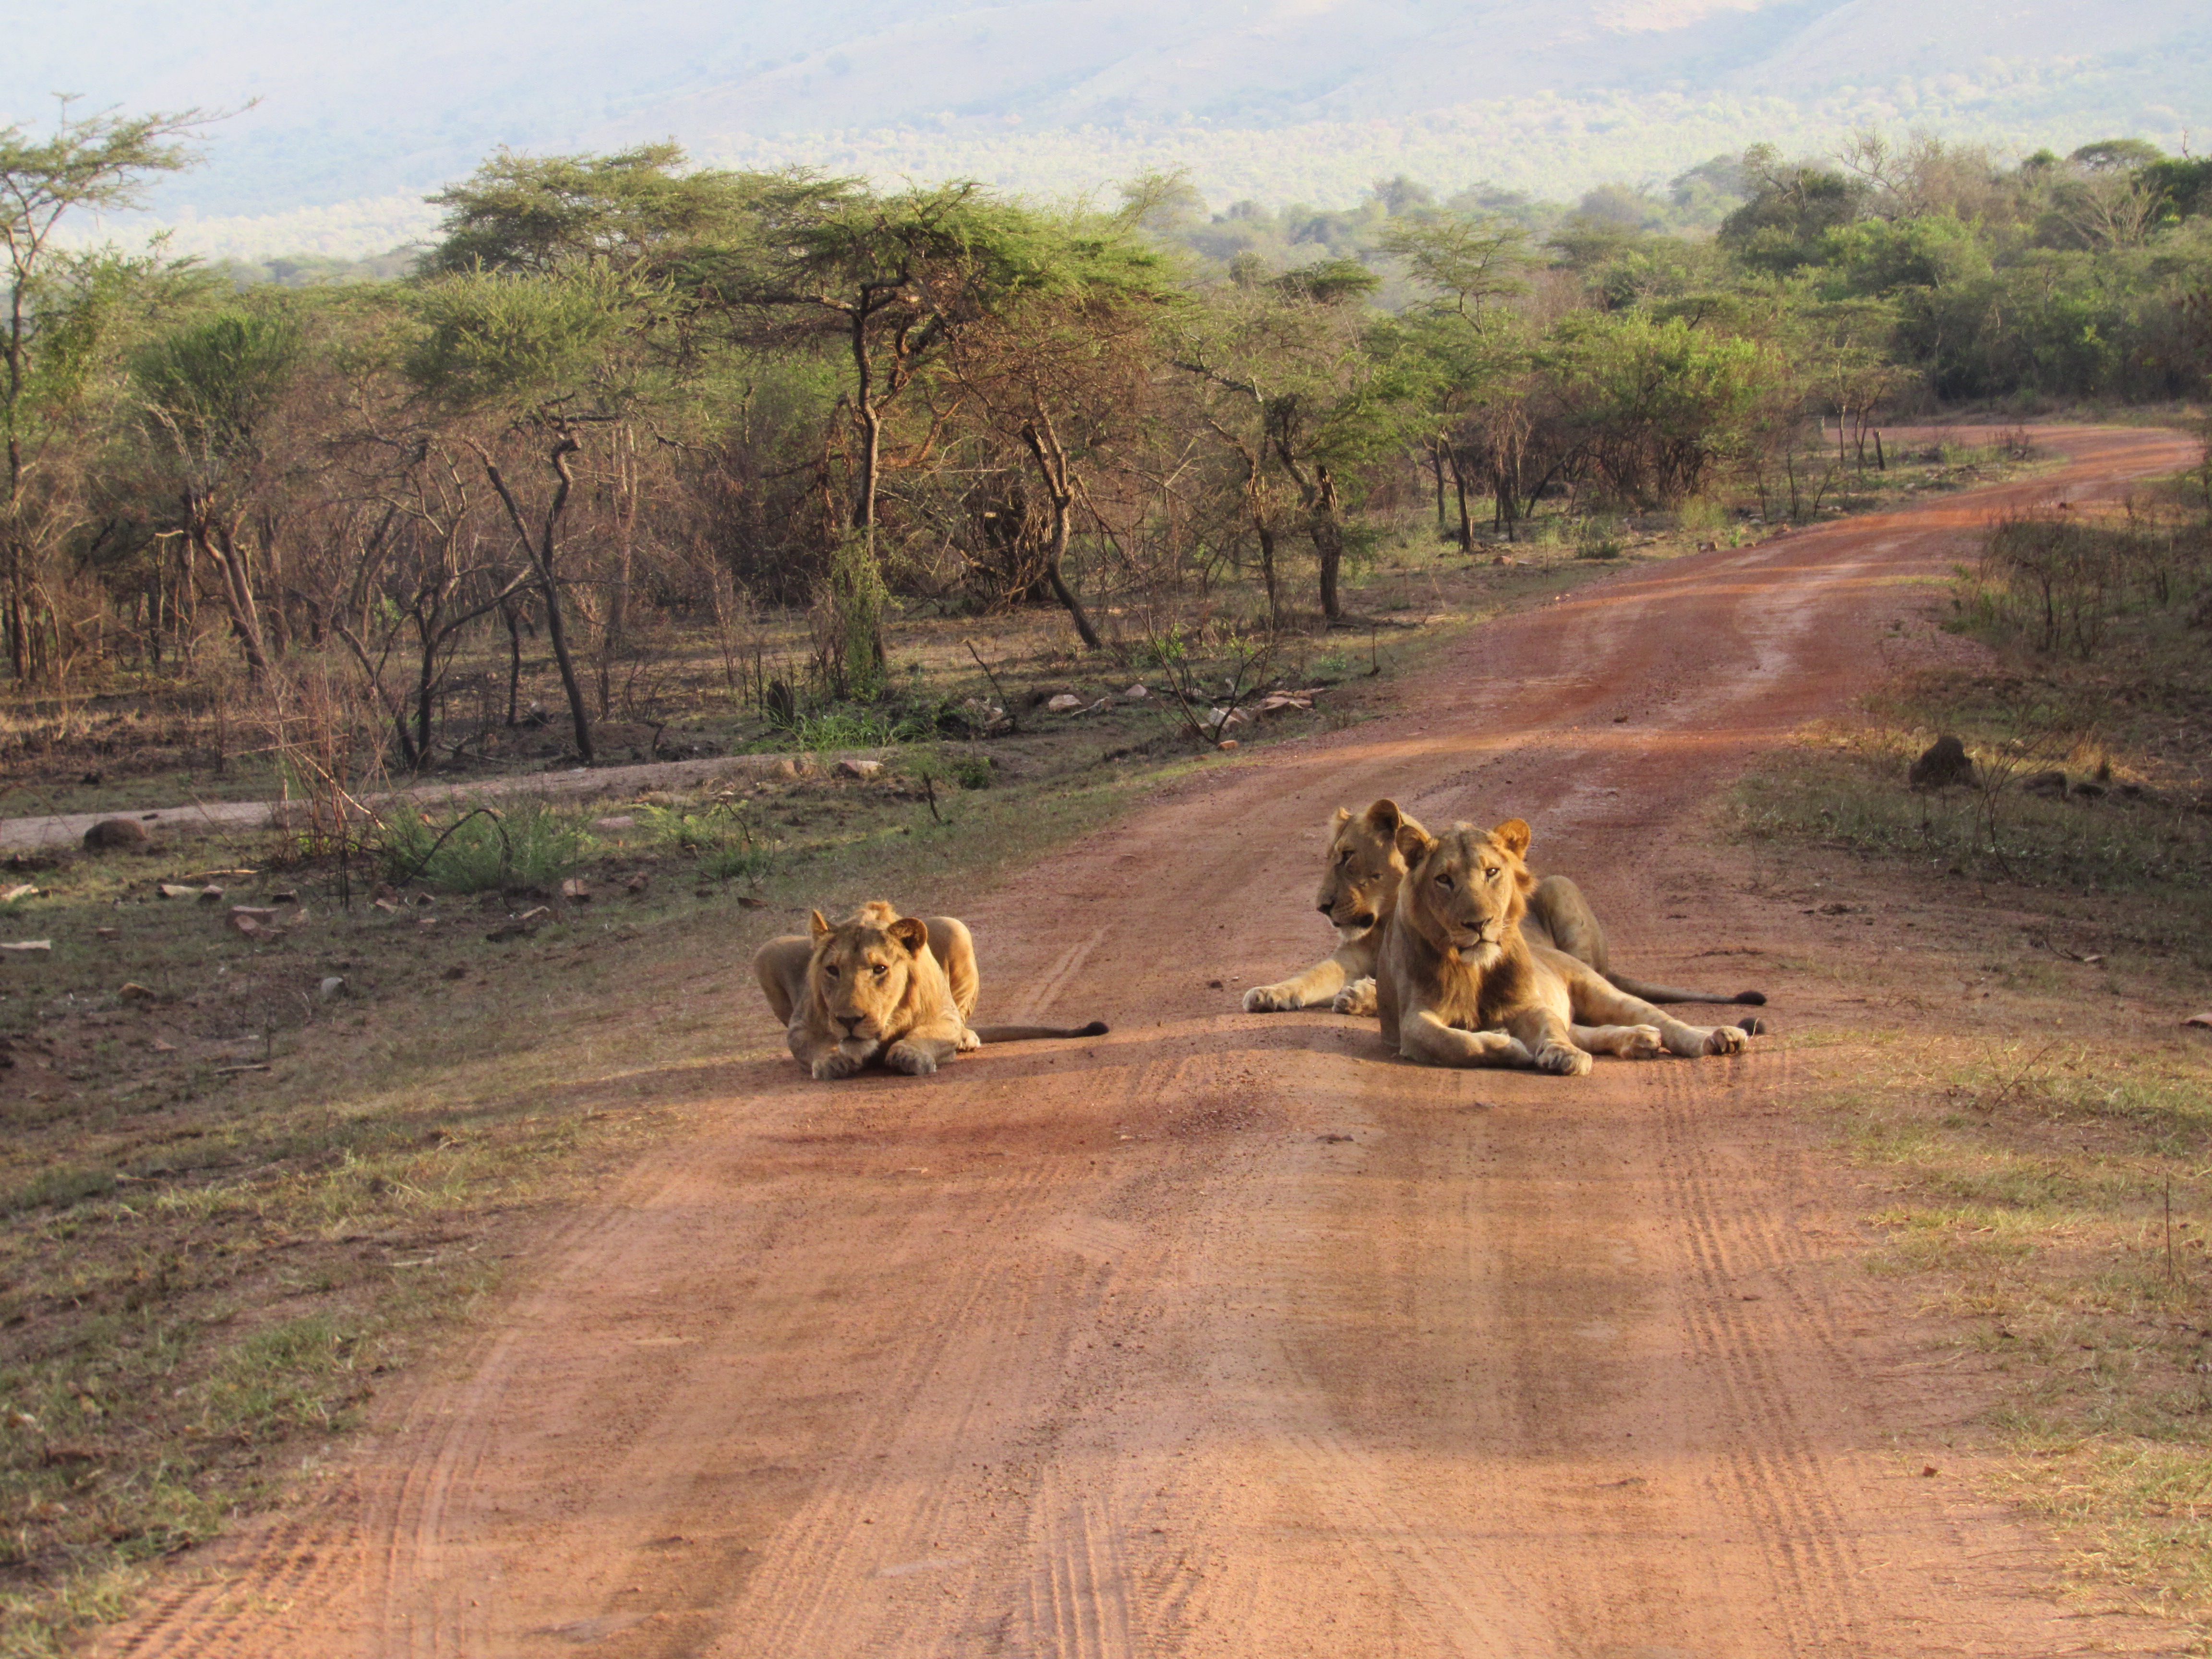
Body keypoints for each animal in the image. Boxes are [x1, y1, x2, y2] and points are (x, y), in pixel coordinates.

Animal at [756, 902, 1106, 1083]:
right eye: (832, 970)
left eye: (880, 969)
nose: (849, 1020)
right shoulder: (801, 1025)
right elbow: (811, 1044)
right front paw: (833, 1060)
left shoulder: (944, 1016)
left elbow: (929, 1034)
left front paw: (910, 1054)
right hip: (768, 950)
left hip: (955, 928)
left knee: (964, 1019)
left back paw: (966, 1039)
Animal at [1247, 801, 1760, 1022]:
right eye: (1331, 857)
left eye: (1348, 856)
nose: (1321, 906)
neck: (1390, 914)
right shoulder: (1348, 957)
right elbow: (1308, 976)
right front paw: (1271, 993)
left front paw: (1359, 996)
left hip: (1559, 888)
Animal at [1371, 818, 1752, 1079]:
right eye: (1444, 880)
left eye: (1492, 872)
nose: (1478, 924)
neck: (1474, 970)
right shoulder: (1413, 1020)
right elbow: (1457, 1042)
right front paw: (1509, 1045)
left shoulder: (1527, 1004)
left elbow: (1551, 1030)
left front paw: (1562, 1055)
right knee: (1595, 1031)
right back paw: (1642, 1040)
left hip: (1598, 989)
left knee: (1666, 1021)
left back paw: (1721, 1037)